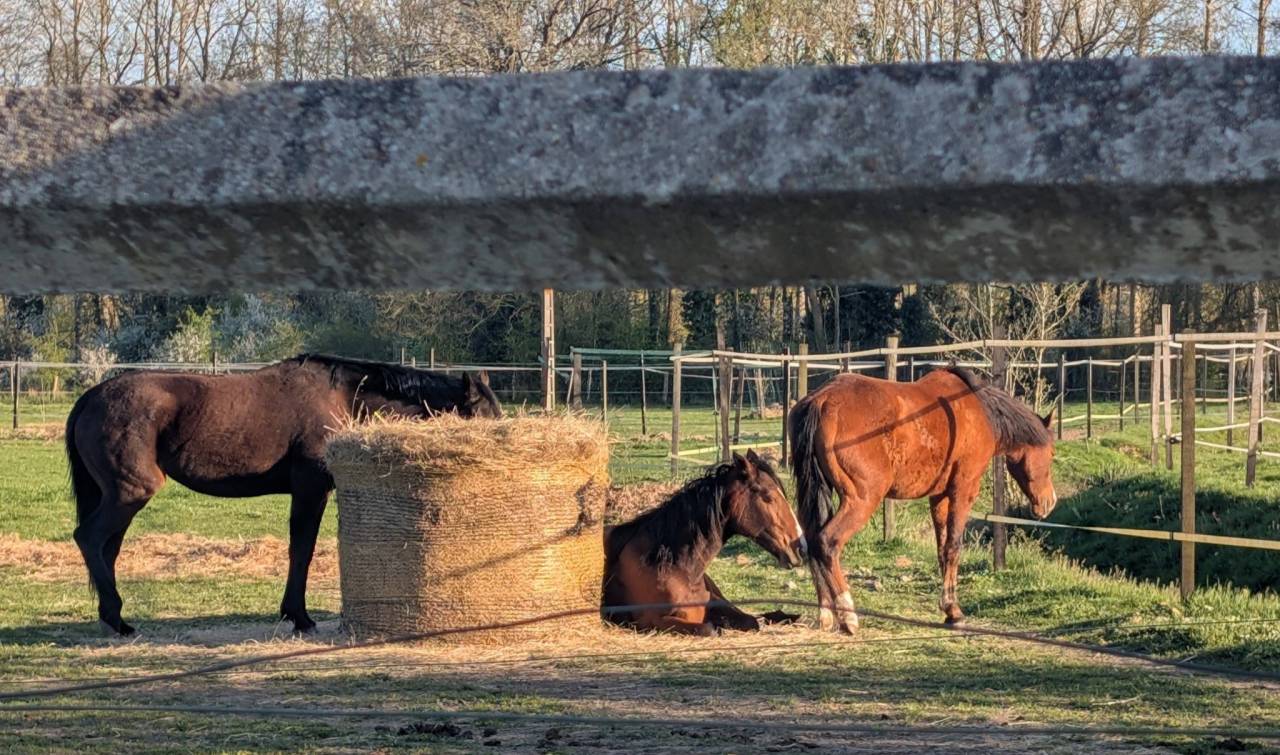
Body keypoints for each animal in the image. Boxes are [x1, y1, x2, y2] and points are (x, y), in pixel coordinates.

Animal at [64, 353, 502, 636]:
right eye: (483, 416)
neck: (341, 395)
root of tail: (92, 396)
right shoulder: (311, 490)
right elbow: (302, 550)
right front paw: (299, 616)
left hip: (120, 498)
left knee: (106, 549)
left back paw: (111, 616)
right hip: (130, 492)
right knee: (89, 539)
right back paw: (118, 620)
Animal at [602, 450, 806, 636]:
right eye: (768, 497)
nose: (801, 547)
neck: (669, 564)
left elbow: (751, 621)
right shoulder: (650, 621)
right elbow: (709, 629)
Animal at [789, 366, 1057, 633]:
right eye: (1052, 453)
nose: (1049, 502)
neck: (980, 411)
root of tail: (822, 401)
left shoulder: (939, 497)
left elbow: (942, 549)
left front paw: (948, 609)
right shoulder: (963, 491)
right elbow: (954, 547)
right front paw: (954, 610)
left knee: (813, 543)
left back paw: (826, 613)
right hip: (861, 500)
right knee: (827, 543)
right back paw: (848, 616)